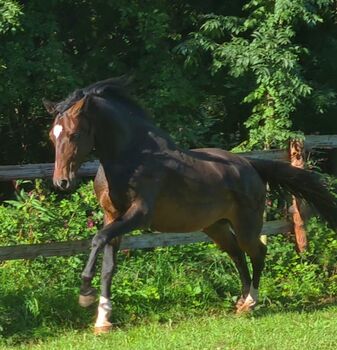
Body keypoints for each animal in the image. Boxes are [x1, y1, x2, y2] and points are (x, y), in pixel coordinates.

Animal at [44, 78, 336, 332]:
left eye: (74, 134)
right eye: (52, 136)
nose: (61, 182)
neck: (131, 158)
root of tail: (251, 165)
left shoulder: (138, 214)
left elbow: (97, 239)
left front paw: (85, 294)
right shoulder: (112, 216)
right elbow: (108, 265)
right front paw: (102, 320)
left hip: (246, 226)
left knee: (257, 252)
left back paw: (251, 302)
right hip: (216, 227)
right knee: (237, 255)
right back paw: (241, 303)